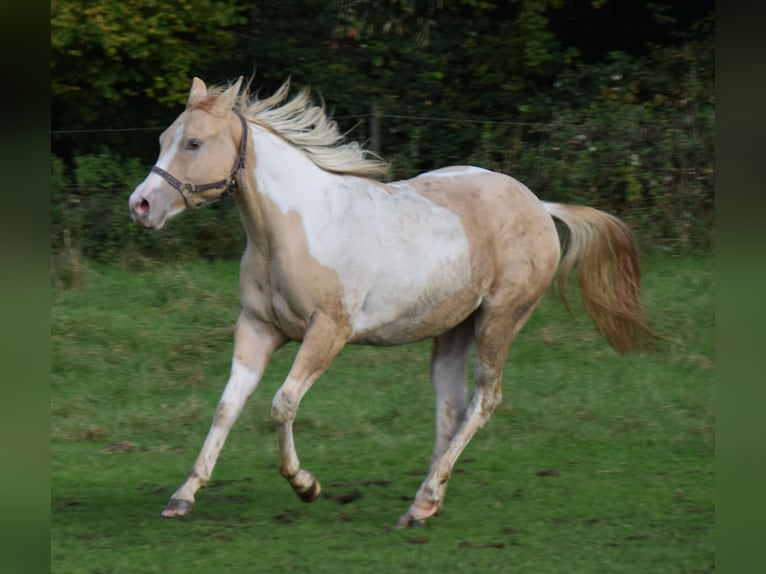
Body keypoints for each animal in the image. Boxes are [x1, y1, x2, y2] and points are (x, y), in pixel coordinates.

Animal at [127, 76, 656, 532]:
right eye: (164, 138)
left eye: (194, 143)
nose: (141, 205)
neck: (292, 229)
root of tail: (539, 206)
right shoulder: (257, 328)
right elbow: (227, 407)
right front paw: (183, 496)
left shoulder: (328, 332)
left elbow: (282, 404)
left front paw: (306, 485)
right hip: (453, 331)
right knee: (451, 407)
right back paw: (426, 501)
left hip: (499, 321)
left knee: (484, 400)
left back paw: (424, 500)